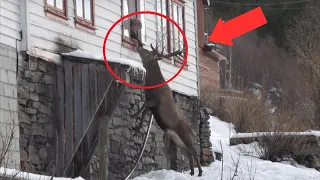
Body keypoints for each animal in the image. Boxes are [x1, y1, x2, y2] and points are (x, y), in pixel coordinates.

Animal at [129, 42, 202, 177]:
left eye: (148, 53)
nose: (139, 46)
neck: (152, 86)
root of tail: (193, 131)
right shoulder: (152, 107)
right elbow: (143, 112)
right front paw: (136, 128)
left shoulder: (155, 101)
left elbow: (143, 106)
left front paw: (133, 116)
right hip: (178, 142)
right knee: (188, 154)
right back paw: (191, 172)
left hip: (186, 138)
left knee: (194, 152)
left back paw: (199, 172)